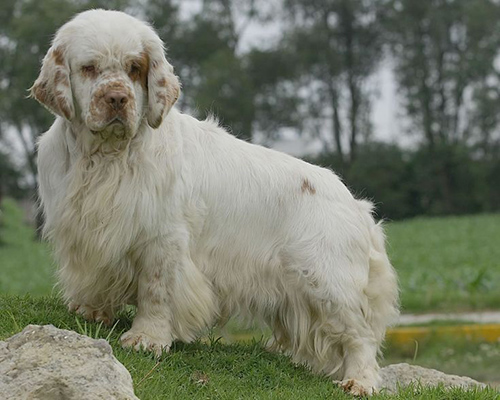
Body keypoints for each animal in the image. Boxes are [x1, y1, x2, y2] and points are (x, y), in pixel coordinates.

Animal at [32, 9, 398, 396]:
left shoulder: (163, 239)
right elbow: (98, 278)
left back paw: (360, 381)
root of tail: (357, 206)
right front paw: (93, 311)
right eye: (88, 67)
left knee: (361, 337)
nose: (117, 99)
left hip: (326, 283)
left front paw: (148, 338)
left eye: (134, 67)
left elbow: (155, 290)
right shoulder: (88, 228)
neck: (106, 157)